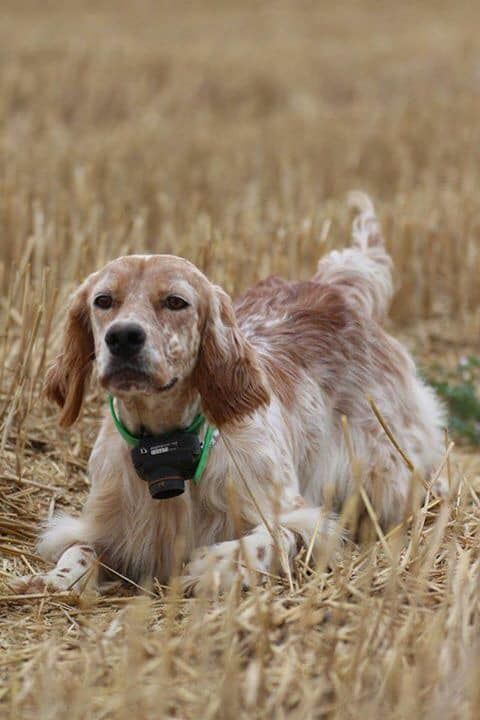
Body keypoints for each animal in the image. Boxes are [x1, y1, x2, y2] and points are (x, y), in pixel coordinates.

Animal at [11, 193, 446, 596]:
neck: (169, 446)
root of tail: (334, 288)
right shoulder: (104, 525)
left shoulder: (304, 518)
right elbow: (80, 549)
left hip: (388, 470)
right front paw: (55, 579)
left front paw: (213, 565)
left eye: (175, 301)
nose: (123, 337)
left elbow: (267, 539)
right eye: (103, 300)